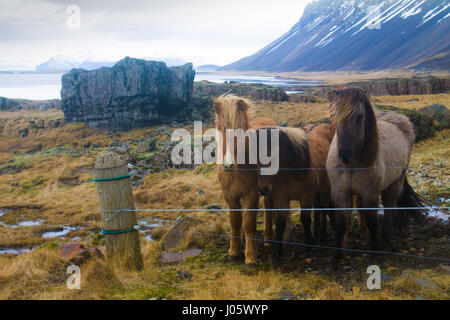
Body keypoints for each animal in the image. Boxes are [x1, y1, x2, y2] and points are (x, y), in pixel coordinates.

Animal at [213, 94, 276, 264]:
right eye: (220, 128)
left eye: (240, 130)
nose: (228, 164)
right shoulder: (230, 196)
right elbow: (235, 221)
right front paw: (234, 251)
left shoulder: (252, 194)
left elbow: (249, 223)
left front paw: (251, 256)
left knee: (268, 206)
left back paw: (268, 238)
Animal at [256, 123, 334, 258]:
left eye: (274, 155)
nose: (263, 189)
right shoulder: (281, 197)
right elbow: (280, 222)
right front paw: (278, 251)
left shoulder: (306, 196)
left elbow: (305, 219)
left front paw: (309, 244)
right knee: (318, 209)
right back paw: (317, 231)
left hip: (325, 189)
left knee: (324, 210)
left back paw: (322, 235)